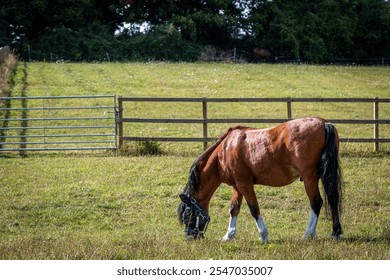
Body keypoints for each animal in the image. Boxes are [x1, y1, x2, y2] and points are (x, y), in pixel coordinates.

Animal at [178, 117, 342, 242]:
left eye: (188, 215)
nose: (189, 237)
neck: (224, 151)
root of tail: (323, 123)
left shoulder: (245, 184)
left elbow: (254, 209)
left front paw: (263, 235)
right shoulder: (237, 186)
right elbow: (234, 209)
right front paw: (229, 235)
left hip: (309, 177)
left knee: (316, 202)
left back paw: (308, 234)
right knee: (332, 198)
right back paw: (335, 232)